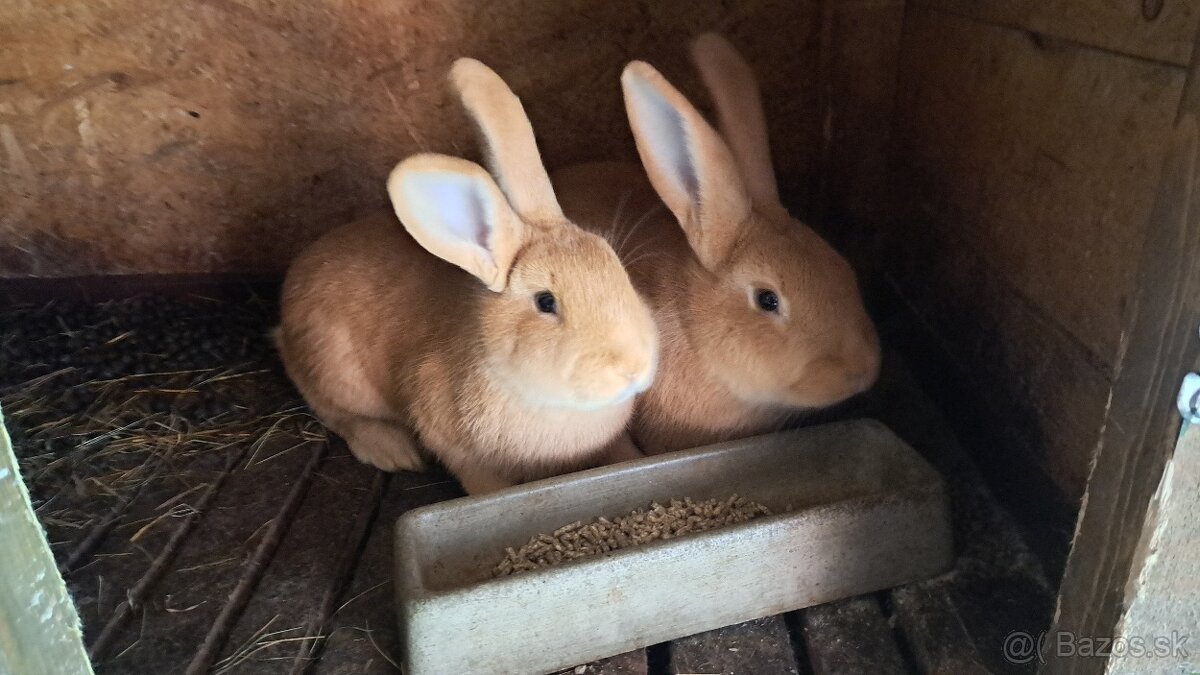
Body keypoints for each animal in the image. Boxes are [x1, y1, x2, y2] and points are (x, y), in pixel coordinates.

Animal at [277, 57, 662, 492]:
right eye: (546, 302)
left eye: (618, 268)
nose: (634, 367)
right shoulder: (451, 440)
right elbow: (481, 480)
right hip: (334, 371)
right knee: (334, 409)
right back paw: (393, 451)